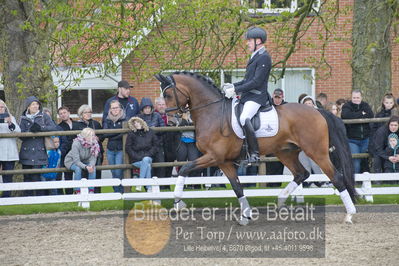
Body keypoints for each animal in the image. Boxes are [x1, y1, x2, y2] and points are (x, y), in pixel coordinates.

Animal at [155, 71, 358, 224]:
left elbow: (185, 168)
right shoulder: (224, 162)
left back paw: (349, 214)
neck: (212, 112)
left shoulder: (213, 156)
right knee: (302, 174)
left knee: (336, 177)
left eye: (168, 95)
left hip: (317, 152)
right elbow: (237, 187)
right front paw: (246, 215)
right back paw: (280, 201)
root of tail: (318, 111)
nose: (170, 119)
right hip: (286, 152)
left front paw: (178, 202)